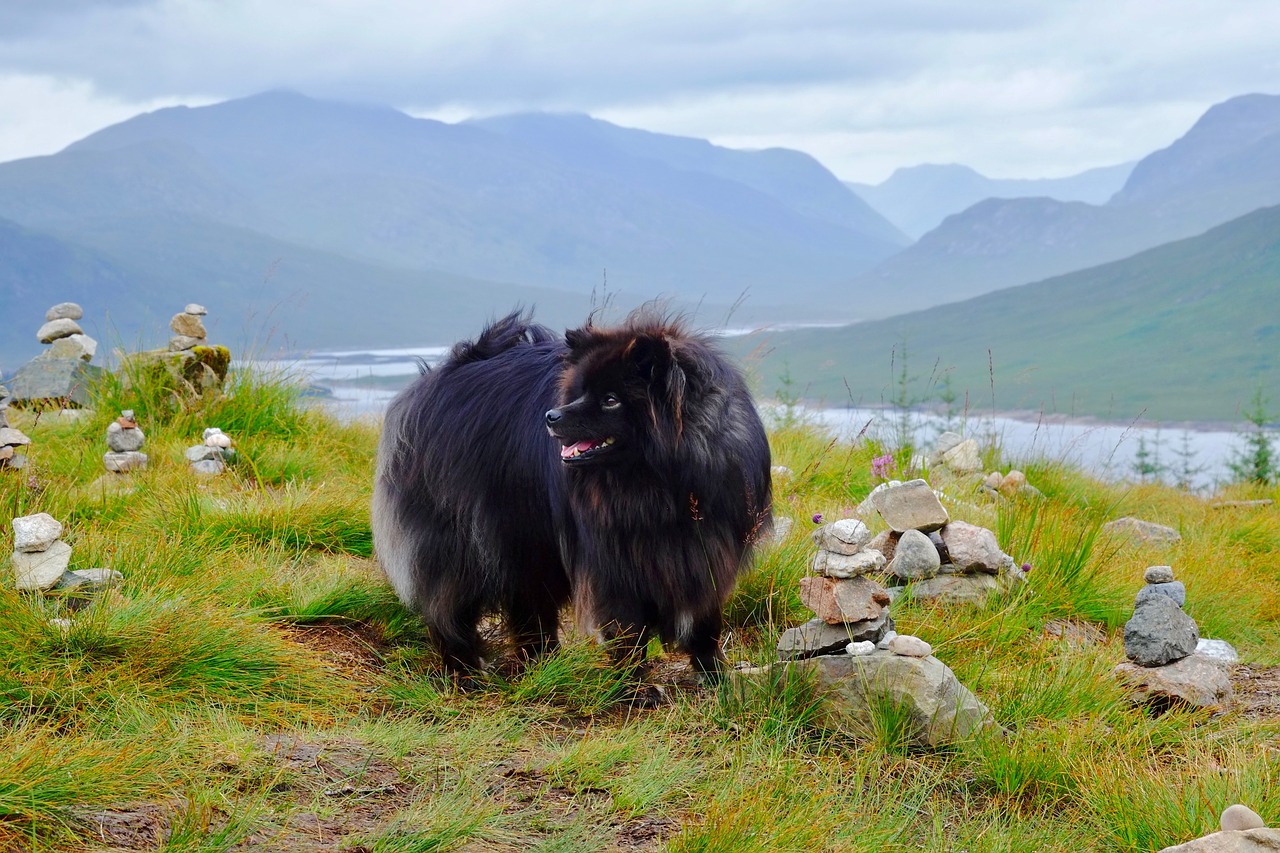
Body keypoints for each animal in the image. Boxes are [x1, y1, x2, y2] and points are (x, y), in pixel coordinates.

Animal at [371, 308, 768, 681]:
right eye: (578, 393)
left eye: (611, 400)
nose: (551, 416)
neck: (663, 486)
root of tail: (447, 372)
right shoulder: (616, 560)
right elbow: (628, 630)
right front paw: (636, 688)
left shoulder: (708, 551)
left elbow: (705, 623)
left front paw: (716, 677)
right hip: (466, 544)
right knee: (450, 610)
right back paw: (464, 672)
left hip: (528, 541)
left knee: (528, 604)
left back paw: (542, 662)